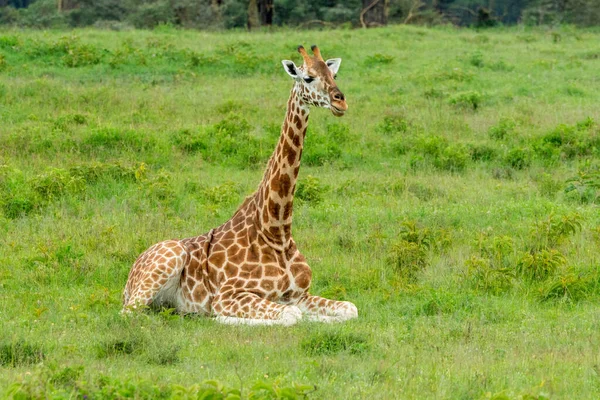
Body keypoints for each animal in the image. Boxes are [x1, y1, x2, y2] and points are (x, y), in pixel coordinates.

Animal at [121, 45, 356, 324]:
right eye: (308, 78)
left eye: (334, 75)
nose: (340, 102)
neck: (276, 231)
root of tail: (129, 276)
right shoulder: (229, 294)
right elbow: (290, 316)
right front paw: (221, 319)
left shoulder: (299, 294)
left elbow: (349, 309)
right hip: (164, 264)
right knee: (129, 314)